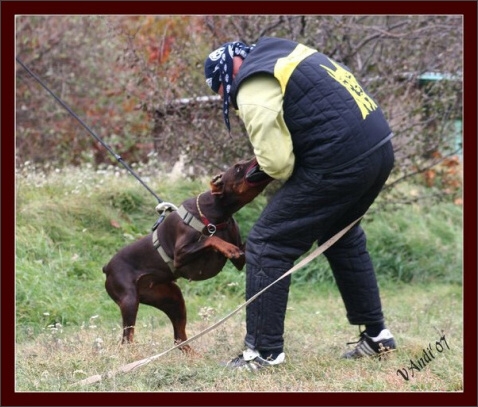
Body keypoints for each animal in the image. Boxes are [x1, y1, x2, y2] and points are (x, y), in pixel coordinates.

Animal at [102, 158, 270, 352]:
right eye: (237, 167)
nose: (257, 158)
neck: (215, 213)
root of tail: (107, 267)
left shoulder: (240, 258)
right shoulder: (180, 254)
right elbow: (210, 239)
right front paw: (227, 247)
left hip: (172, 298)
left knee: (179, 338)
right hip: (129, 300)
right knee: (127, 339)